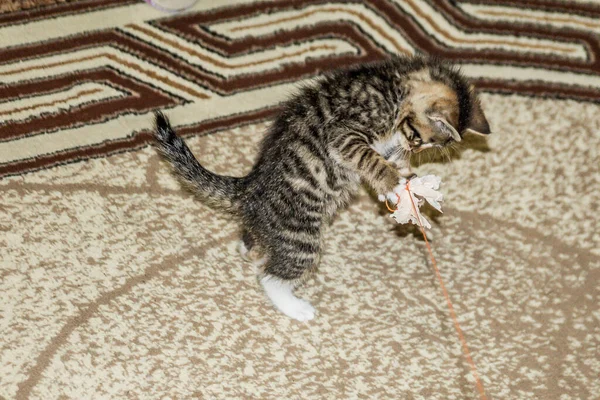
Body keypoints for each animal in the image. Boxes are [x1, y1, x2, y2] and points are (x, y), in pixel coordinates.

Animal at [152, 54, 490, 322]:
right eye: (419, 138)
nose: (412, 147)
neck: (394, 85)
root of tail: (250, 188)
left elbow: (384, 156)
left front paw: (401, 178)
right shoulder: (345, 131)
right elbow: (369, 157)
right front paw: (393, 182)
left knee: (253, 244)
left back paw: (251, 248)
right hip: (301, 236)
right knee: (270, 278)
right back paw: (293, 306)